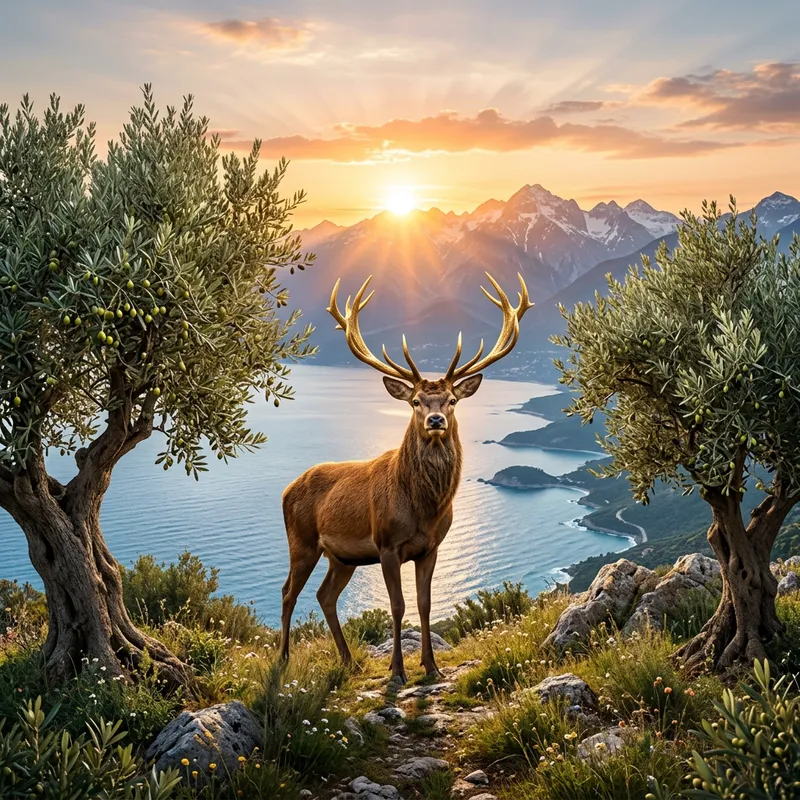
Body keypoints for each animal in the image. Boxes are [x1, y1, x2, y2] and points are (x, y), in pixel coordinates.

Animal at [279, 272, 533, 682]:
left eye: (452, 400)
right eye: (415, 401)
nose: (436, 420)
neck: (424, 510)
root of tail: (286, 490)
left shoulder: (431, 547)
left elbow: (425, 604)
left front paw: (431, 666)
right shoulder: (386, 544)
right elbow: (397, 606)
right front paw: (397, 670)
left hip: (342, 557)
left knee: (324, 595)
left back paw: (348, 660)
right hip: (301, 540)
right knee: (289, 592)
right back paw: (284, 658)